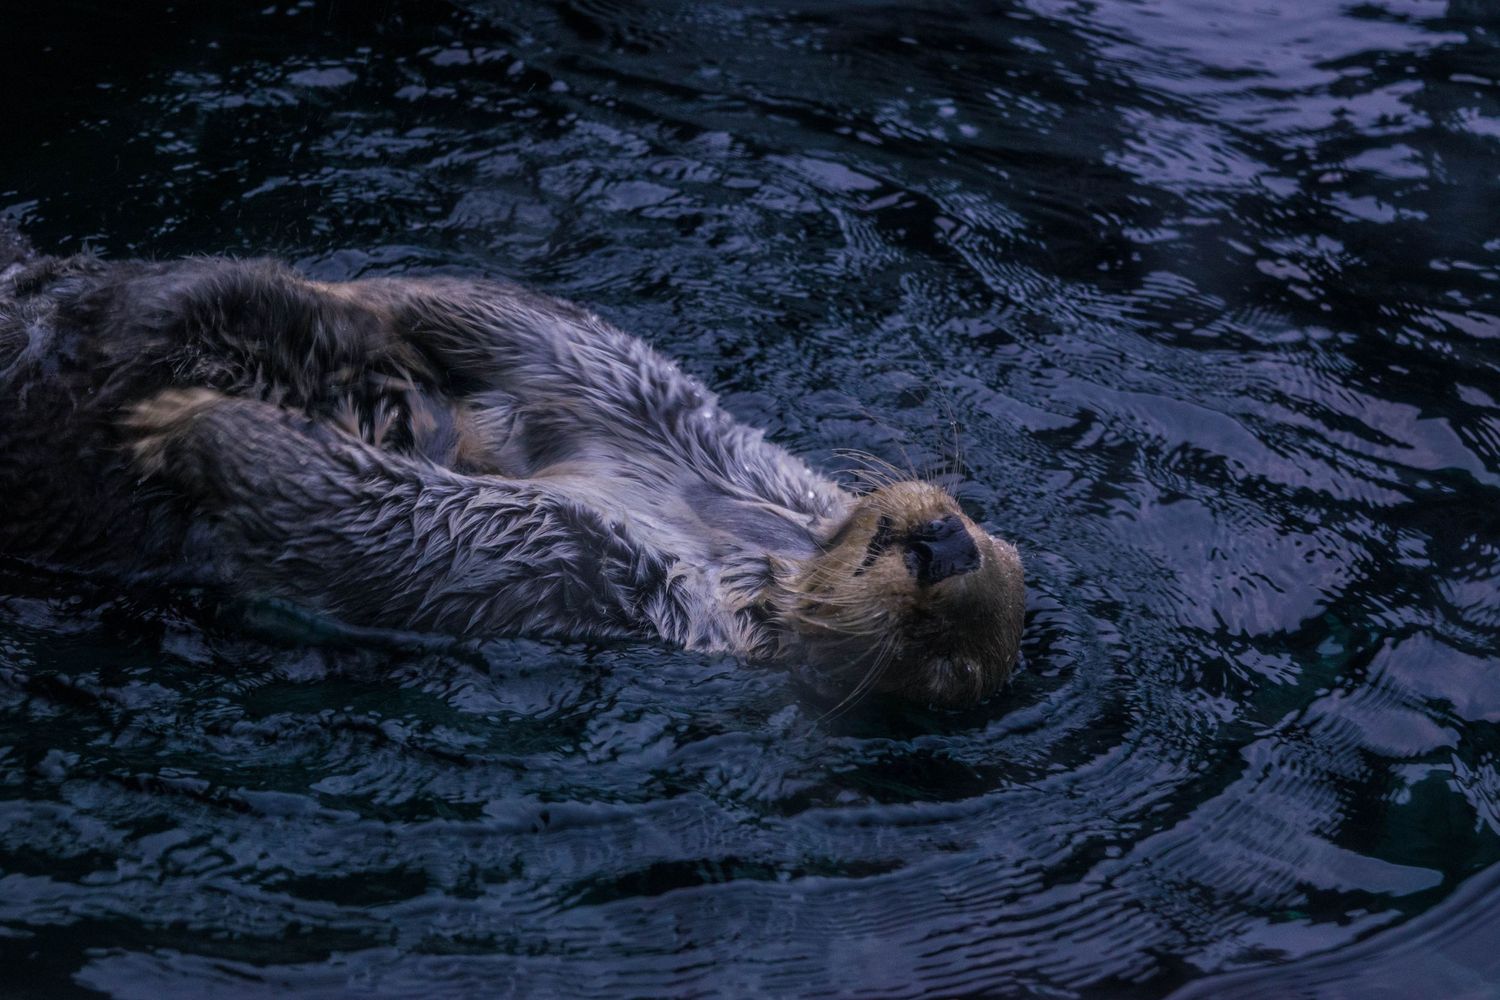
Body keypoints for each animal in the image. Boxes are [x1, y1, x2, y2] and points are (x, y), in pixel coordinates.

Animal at [0, 227, 1023, 707]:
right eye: (985, 537)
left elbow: (346, 510)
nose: (945, 544)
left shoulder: (588, 571)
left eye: (937, 652)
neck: (732, 526)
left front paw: (185, 423)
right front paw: (353, 302)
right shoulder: (660, 407)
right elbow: (511, 321)